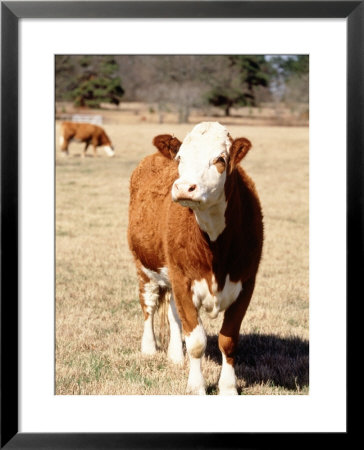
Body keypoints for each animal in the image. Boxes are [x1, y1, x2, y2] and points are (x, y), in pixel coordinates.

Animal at [127, 120, 262, 394]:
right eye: (180, 157)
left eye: (220, 159)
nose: (183, 187)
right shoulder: (183, 280)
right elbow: (197, 341)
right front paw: (196, 387)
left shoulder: (246, 283)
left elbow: (228, 340)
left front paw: (228, 388)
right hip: (144, 267)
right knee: (148, 305)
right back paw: (149, 349)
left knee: (172, 313)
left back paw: (176, 357)